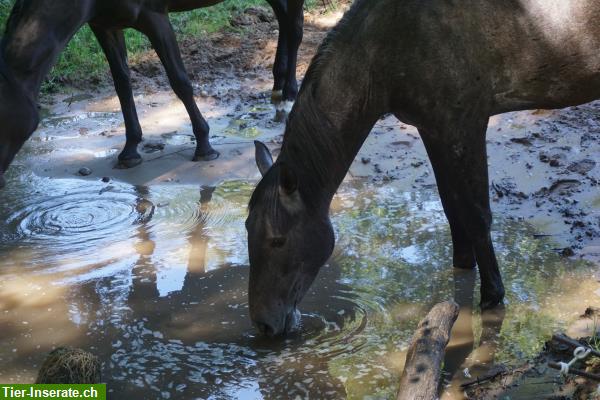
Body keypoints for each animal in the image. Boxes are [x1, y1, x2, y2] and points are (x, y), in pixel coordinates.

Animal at [0, 0, 304, 189]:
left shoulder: (154, 17)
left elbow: (179, 81)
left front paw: (204, 145)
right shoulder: (105, 25)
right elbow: (122, 84)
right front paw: (130, 150)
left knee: (294, 26)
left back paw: (289, 94)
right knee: (285, 20)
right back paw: (278, 86)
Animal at [246, 0, 600, 338]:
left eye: (278, 240)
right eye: (249, 229)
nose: (263, 325)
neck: (388, 43)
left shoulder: (465, 128)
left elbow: (477, 215)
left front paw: (492, 296)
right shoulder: (434, 130)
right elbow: (453, 208)